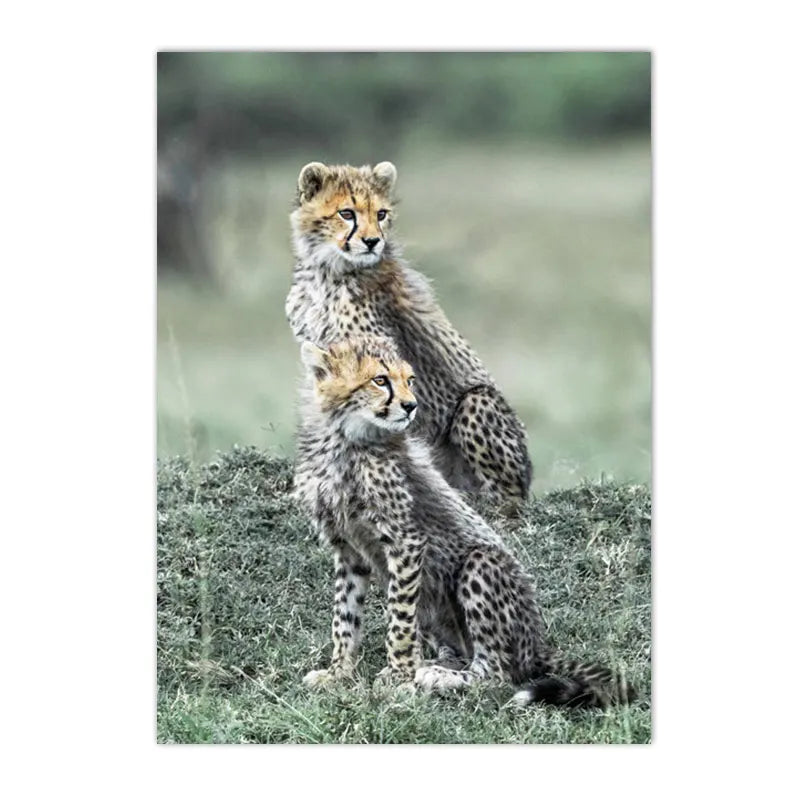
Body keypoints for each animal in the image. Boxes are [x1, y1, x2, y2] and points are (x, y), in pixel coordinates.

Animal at [293, 335, 634, 708]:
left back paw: (437, 677)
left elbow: (399, 620)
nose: (411, 406)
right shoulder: (348, 549)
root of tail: (536, 643)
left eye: (409, 380)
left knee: (497, 672)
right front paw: (338, 672)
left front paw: (398, 676)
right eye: (380, 380)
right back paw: (435, 665)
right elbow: (345, 615)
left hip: (480, 564)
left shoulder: (406, 541)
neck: (346, 440)